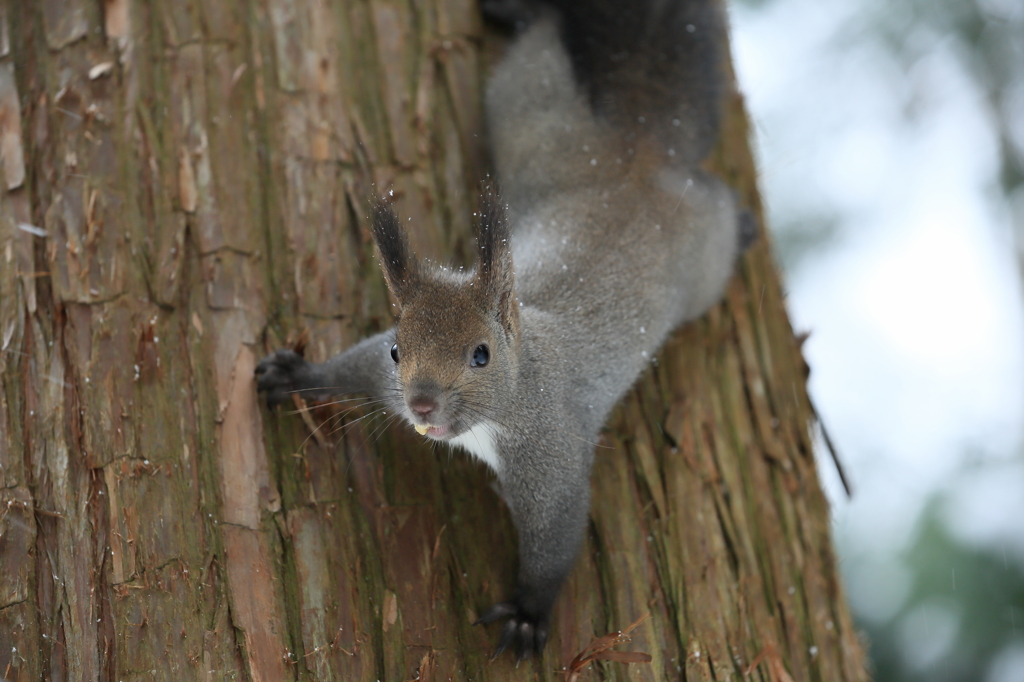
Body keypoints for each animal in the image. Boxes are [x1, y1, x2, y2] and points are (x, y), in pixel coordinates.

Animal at [258, 0, 745, 659]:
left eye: (481, 354)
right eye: (397, 349)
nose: (420, 405)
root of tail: (634, 158)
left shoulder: (551, 456)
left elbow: (555, 538)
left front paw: (527, 614)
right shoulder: (379, 373)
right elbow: (348, 366)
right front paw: (294, 374)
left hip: (705, 259)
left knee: (721, 212)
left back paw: (745, 223)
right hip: (530, 101)